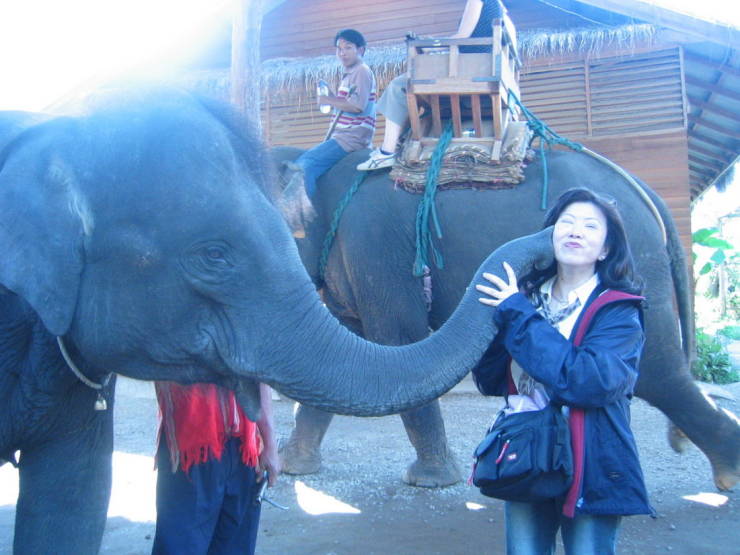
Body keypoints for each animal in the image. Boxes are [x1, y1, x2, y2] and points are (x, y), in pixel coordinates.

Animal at [0, 89, 556, 552]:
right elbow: (372, 336)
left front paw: (426, 481)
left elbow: (390, 335)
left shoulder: (371, 242)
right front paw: (294, 466)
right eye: (215, 254)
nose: (554, 236)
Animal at [274, 146, 740, 494]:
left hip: (638, 265)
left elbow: (395, 340)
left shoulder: (372, 244)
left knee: (658, 373)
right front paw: (292, 466)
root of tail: (642, 188)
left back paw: (729, 477)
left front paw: (429, 482)